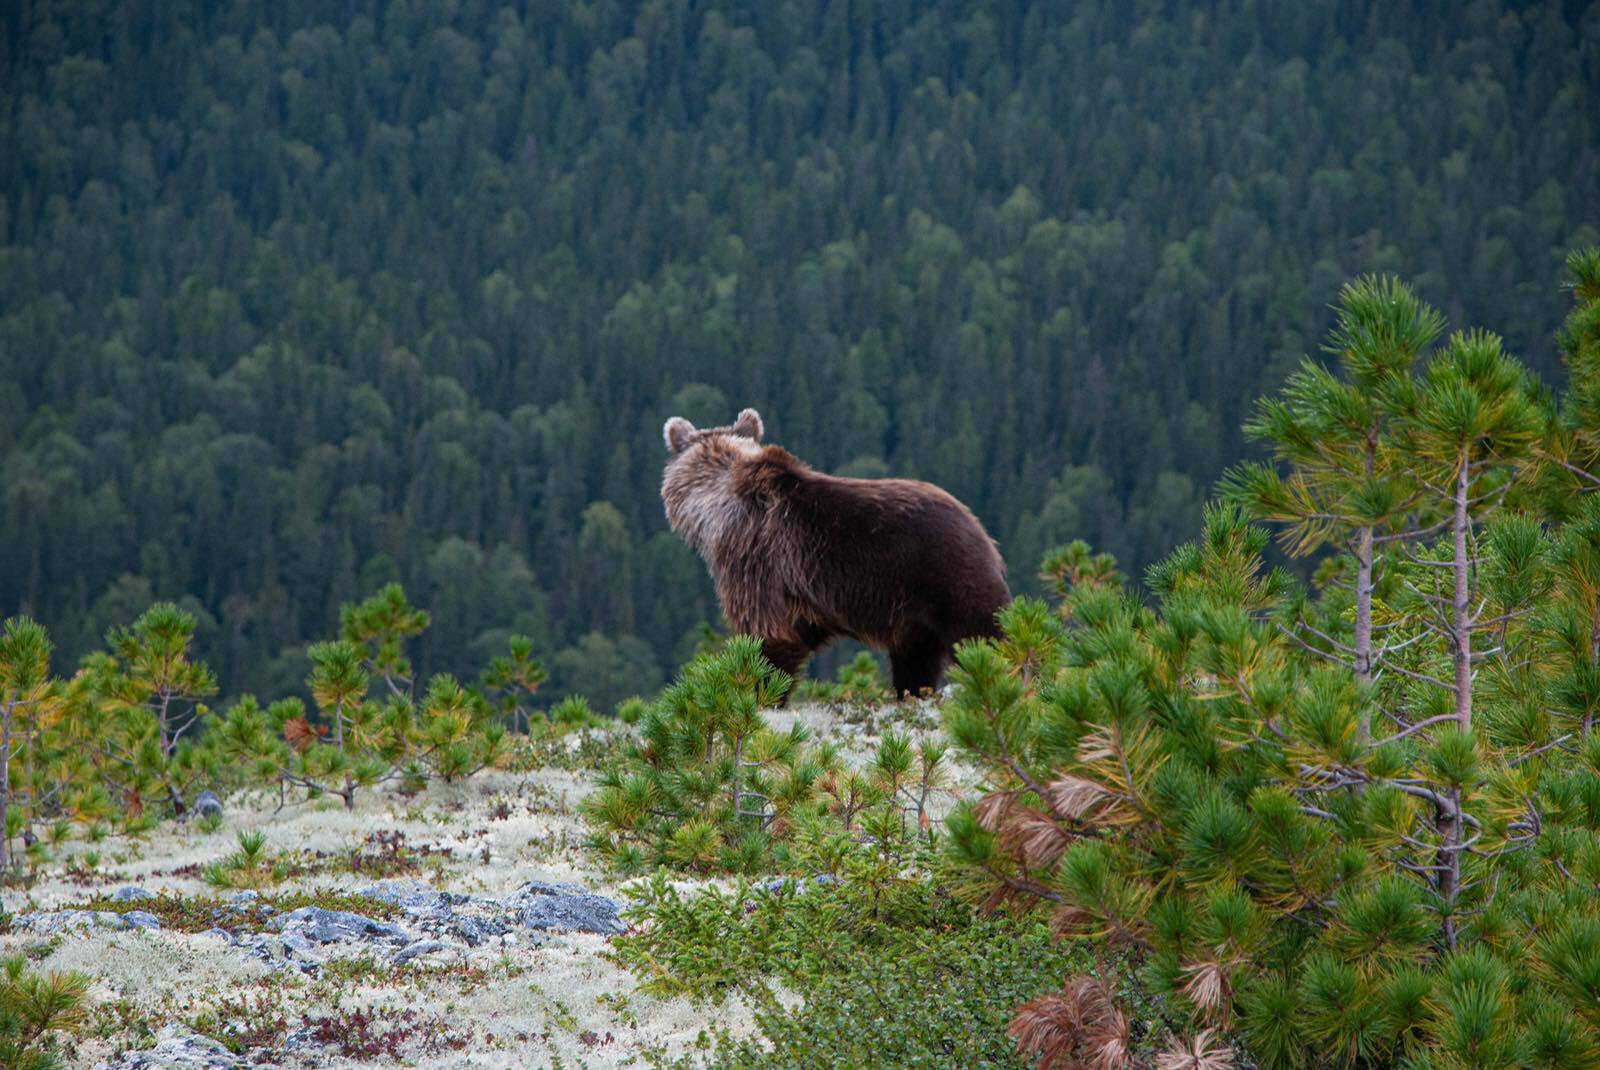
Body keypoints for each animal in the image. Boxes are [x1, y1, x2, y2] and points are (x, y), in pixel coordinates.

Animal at [656, 406, 1004, 694]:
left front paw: (761, 694)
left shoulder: (752, 558)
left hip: (948, 576)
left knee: (984, 635)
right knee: (916, 662)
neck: (713, 506)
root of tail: (983, 532)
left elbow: (769, 638)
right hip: (915, 614)